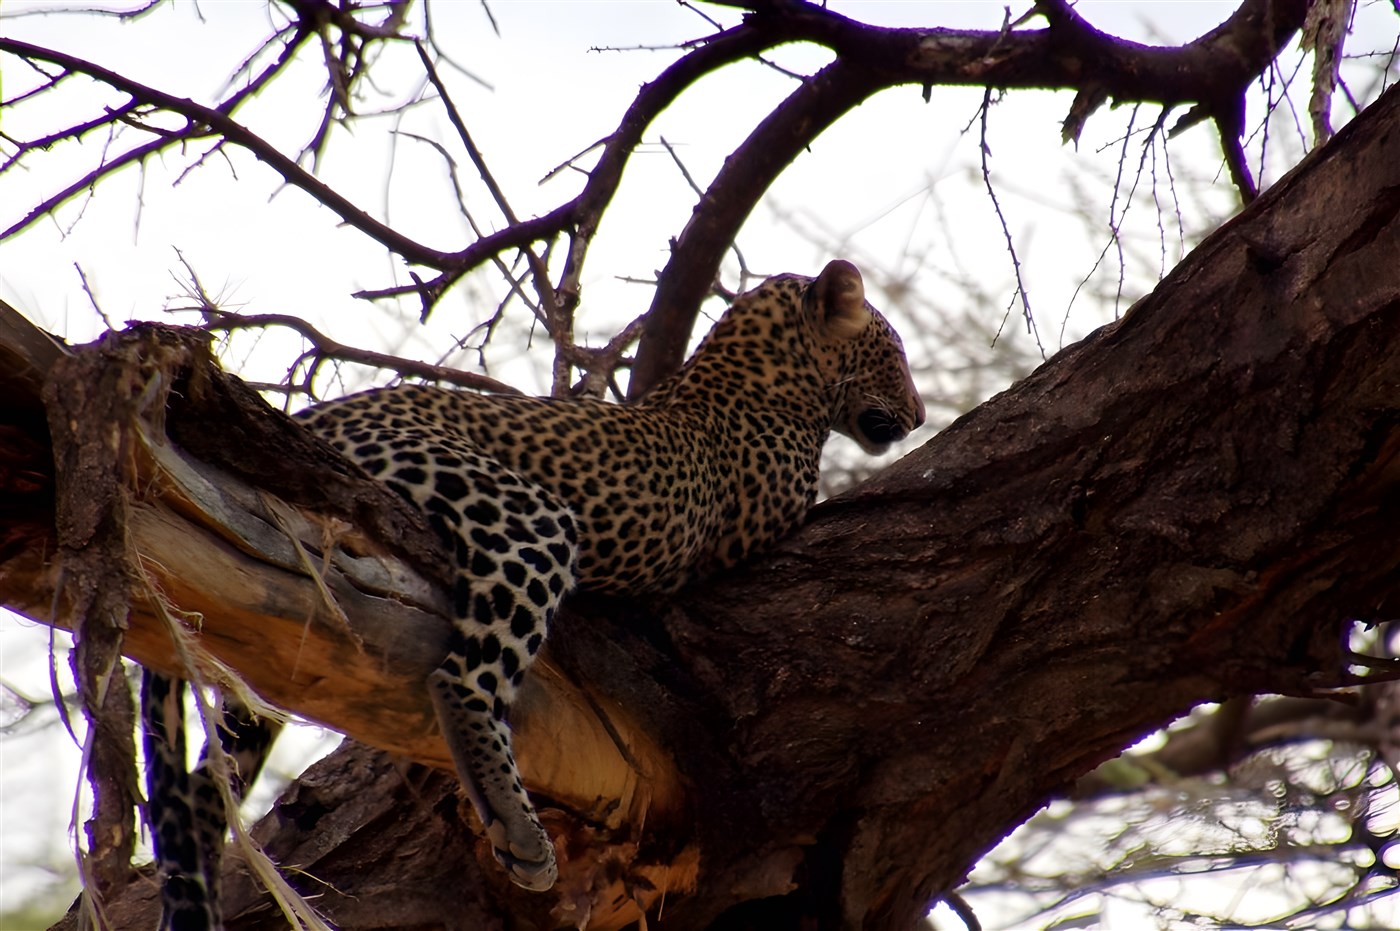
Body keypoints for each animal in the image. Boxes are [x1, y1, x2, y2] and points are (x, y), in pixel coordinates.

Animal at [140, 259, 924, 926]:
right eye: (896, 352)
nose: (918, 415)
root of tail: (314, 417)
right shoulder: (770, 517)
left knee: (214, 770)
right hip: (527, 518)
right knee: (462, 677)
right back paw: (520, 830)